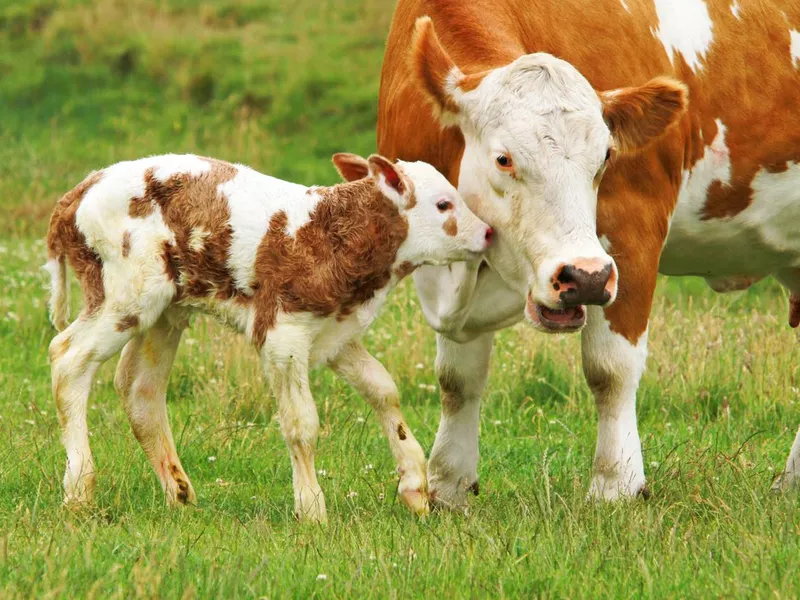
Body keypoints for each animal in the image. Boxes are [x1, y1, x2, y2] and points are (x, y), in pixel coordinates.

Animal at [47, 154, 494, 520]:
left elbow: (383, 390)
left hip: (165, 310)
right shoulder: (283, 335)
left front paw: (414, 483)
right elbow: (301, 423)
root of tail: (80, 189)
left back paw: (179, 493)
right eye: (443, 204)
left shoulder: (335, 331)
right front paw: (311, 509)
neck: (329, 234)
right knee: (68, 357)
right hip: (126, 294)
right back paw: (79, 491)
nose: (489, 233)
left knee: (139, 388)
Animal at [376, 0, 800, 508]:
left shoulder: (631, 230)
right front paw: (450, 485)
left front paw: (615, 485)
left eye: (606, 158)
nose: (585, 277)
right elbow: (457, 378)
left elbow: (610, 368)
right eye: (504, 159)